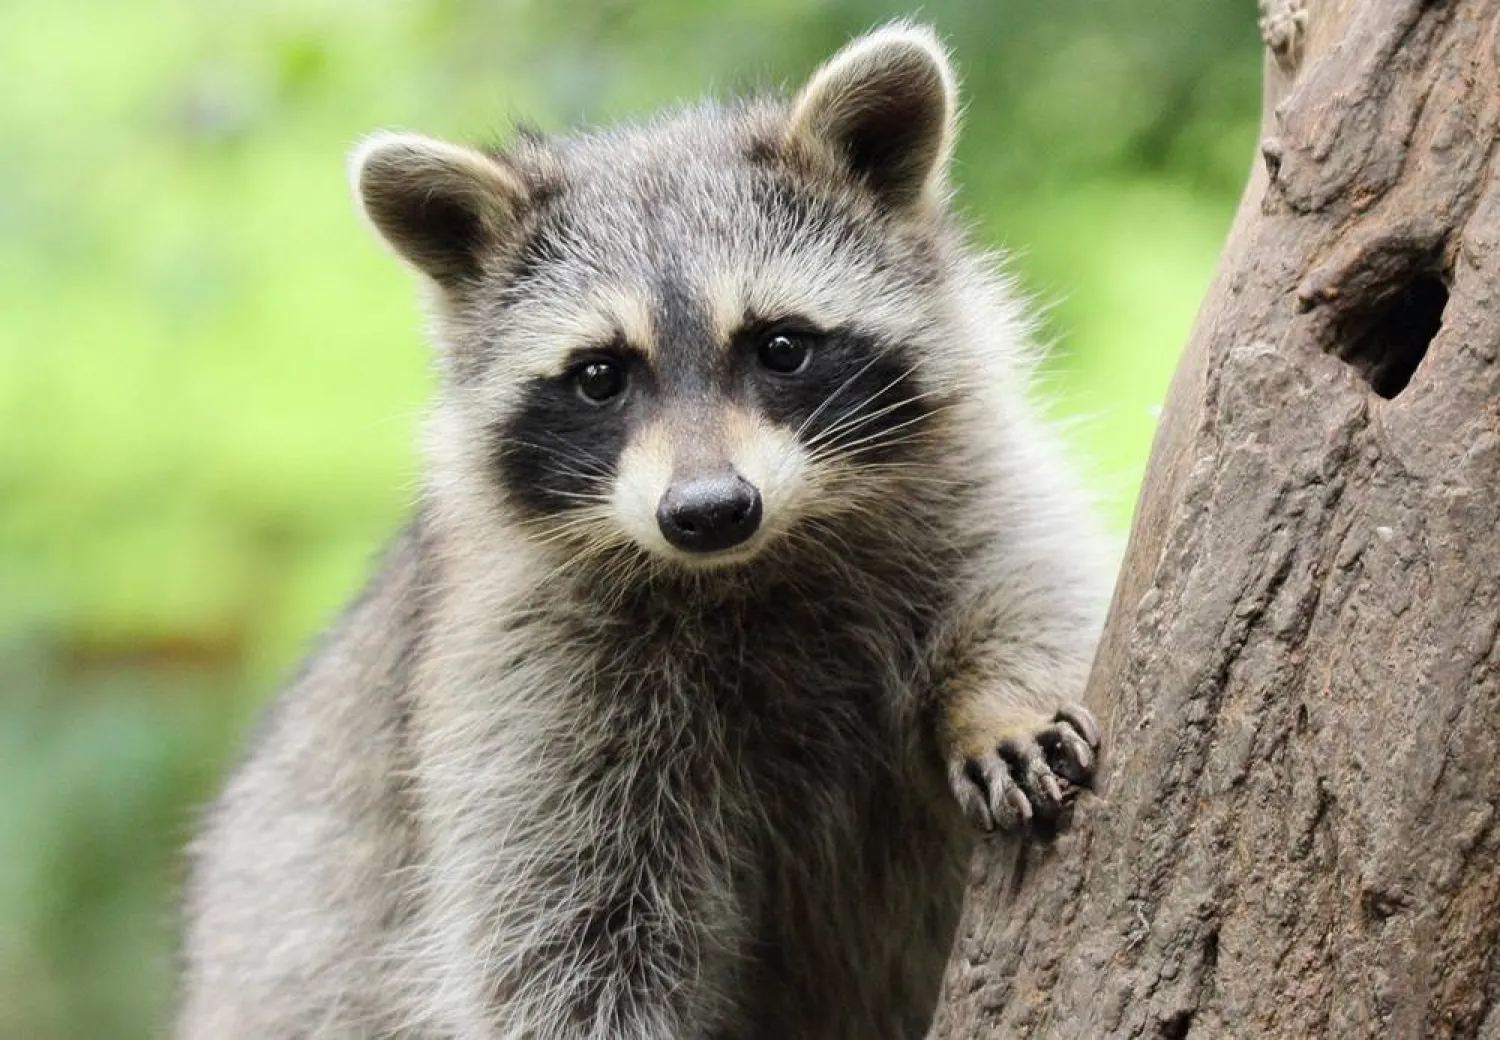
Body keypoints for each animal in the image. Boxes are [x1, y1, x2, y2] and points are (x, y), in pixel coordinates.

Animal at [177, 23, 1113, 1040]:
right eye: (599, 376)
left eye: (781, 347)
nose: (708, 511)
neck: (752, 566)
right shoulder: (528, 681)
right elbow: (564, 939)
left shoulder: (970, 480)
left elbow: (1035, 581)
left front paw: (1001, 699)